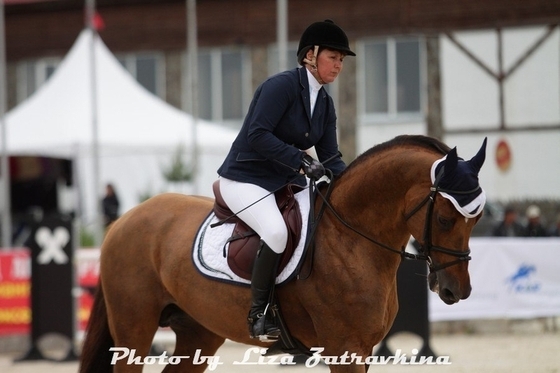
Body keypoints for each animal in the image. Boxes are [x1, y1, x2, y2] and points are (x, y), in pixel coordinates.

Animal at [79, 135, 486, 370]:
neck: (351, 237)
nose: (457, 290)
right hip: (134, 329)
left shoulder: (364, 349)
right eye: (446, 218)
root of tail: (122, 221)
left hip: (199, 333)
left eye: (477, 219)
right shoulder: (345, 349)